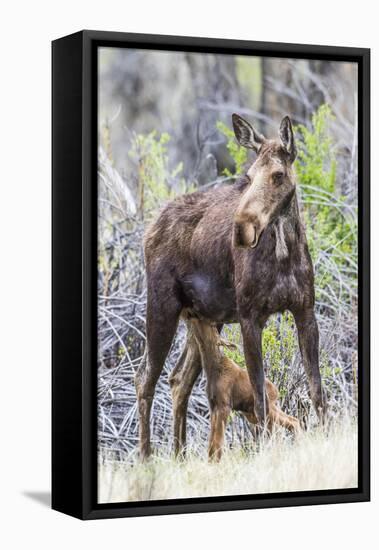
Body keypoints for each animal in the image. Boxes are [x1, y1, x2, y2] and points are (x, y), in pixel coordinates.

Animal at [135, 115, 326, 462]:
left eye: (278, 175)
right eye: (248, 177)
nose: (242, 228)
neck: (283, 252)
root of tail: (150, 228)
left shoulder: (305, 311)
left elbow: (317, 390)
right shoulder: (250, 317)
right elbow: (260, 396)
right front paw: (263, 450)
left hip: (205, 316)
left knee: (179, 379)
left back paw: (180, 455)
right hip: (162, 305)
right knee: (145, 378)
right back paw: (146, 459)